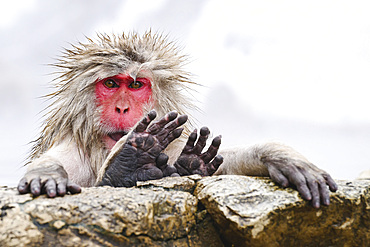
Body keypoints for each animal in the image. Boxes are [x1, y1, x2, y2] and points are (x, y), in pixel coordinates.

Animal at [17, 31, 336, 208]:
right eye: (110, 84)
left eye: (136, 85)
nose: (122, 108)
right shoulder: (74, 147)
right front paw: (46, 175)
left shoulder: (170, 143)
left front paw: (278, 156)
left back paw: (189, 163)